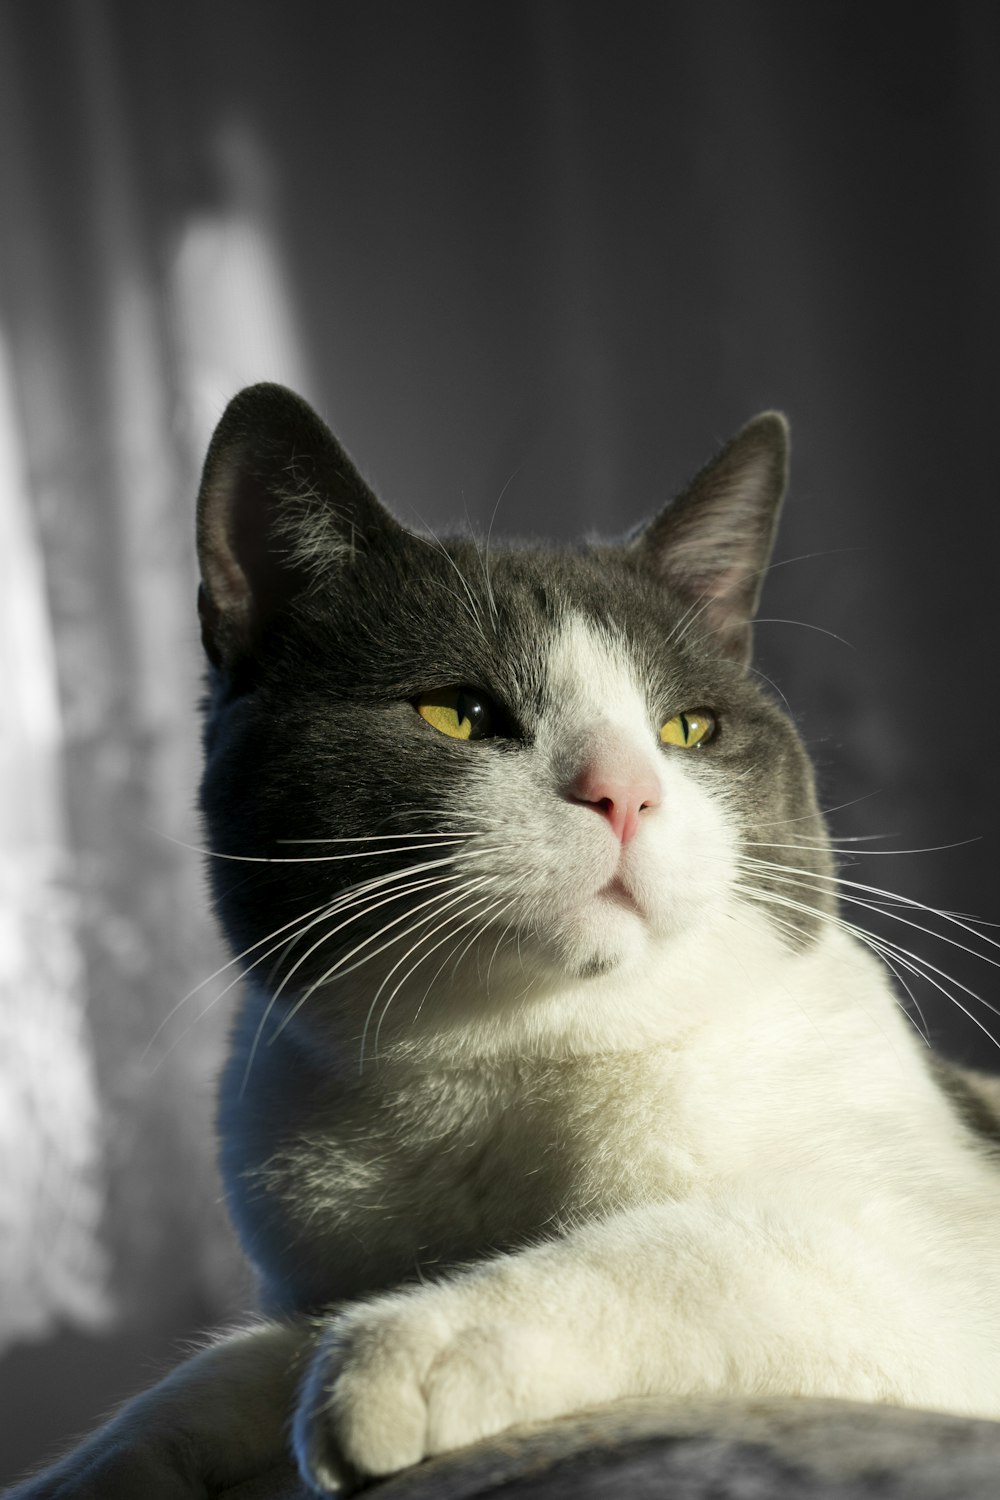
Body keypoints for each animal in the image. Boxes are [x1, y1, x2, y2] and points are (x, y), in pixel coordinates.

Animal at [11, 387, 1000, 1500]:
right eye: (459, 713)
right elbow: (231, 1369)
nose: (625, 792)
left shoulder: (939, 1246)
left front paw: (398, 1354)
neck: (515, 1061)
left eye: (689, 729)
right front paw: (94, 1471)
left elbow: (720, 1248)